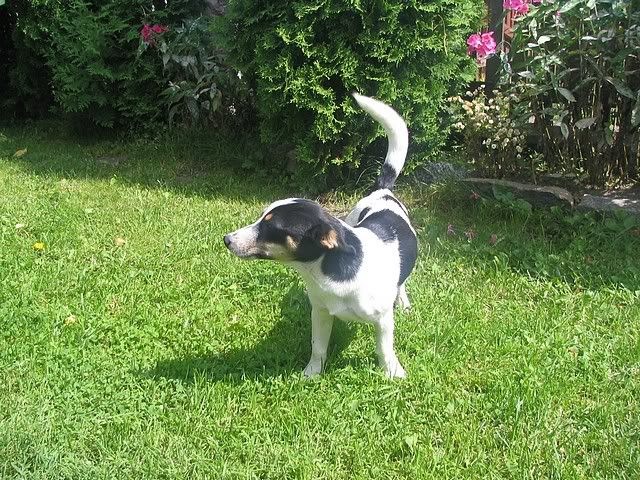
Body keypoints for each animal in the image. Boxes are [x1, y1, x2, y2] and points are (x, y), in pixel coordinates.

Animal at [223, 93, 417, 378]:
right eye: (261, 217)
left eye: (272, 227)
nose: (226, 239)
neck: (327, 271)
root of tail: (382, 191)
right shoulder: (321, 312)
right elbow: (318, 347)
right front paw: (311, 374)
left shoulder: (382, 321)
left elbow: (384, 349)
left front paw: (393, 372)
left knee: (402, 283)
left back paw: (402, 301)